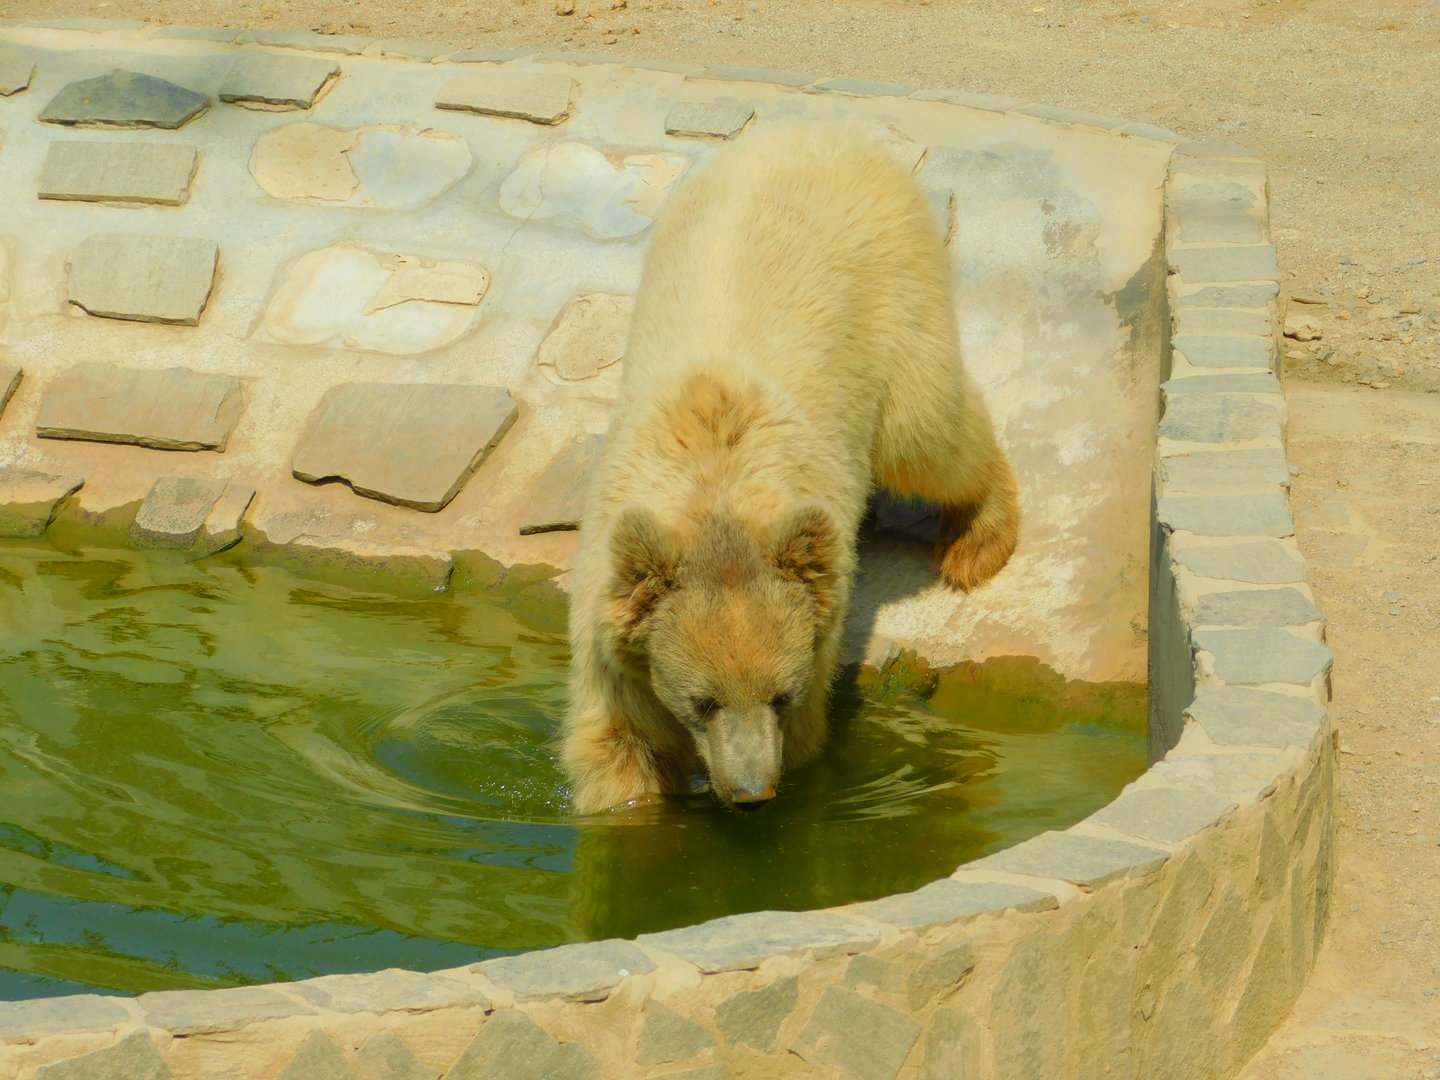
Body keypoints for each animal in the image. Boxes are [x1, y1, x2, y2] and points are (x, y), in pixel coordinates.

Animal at [562, 122, 1019, 814]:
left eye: (779, 694)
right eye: (703, 701)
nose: (752, 791)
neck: (715, 489)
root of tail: (824, 131)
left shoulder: (815, 640)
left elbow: (806, 741)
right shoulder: (612, 634)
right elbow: (619, 748)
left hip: (891, 294)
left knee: (924, 431)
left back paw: (976, 542)